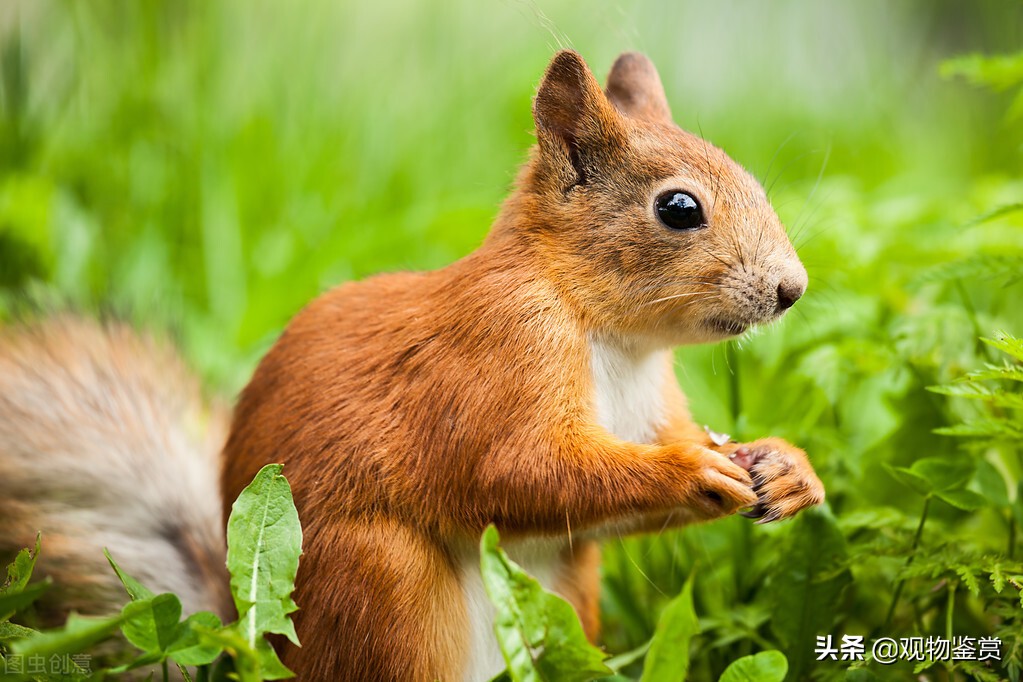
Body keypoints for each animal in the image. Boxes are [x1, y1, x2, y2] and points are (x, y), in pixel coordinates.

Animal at [0, 52, 822, 682]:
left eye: (750, 178)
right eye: (679, 208)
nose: (793, 288)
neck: (611, 336)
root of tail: (247, 637)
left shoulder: (652, 407)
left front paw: (784, 468)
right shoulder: (498, 357)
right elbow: (515, 473)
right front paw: (690, 471)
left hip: (568, 583)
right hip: (385, 583)